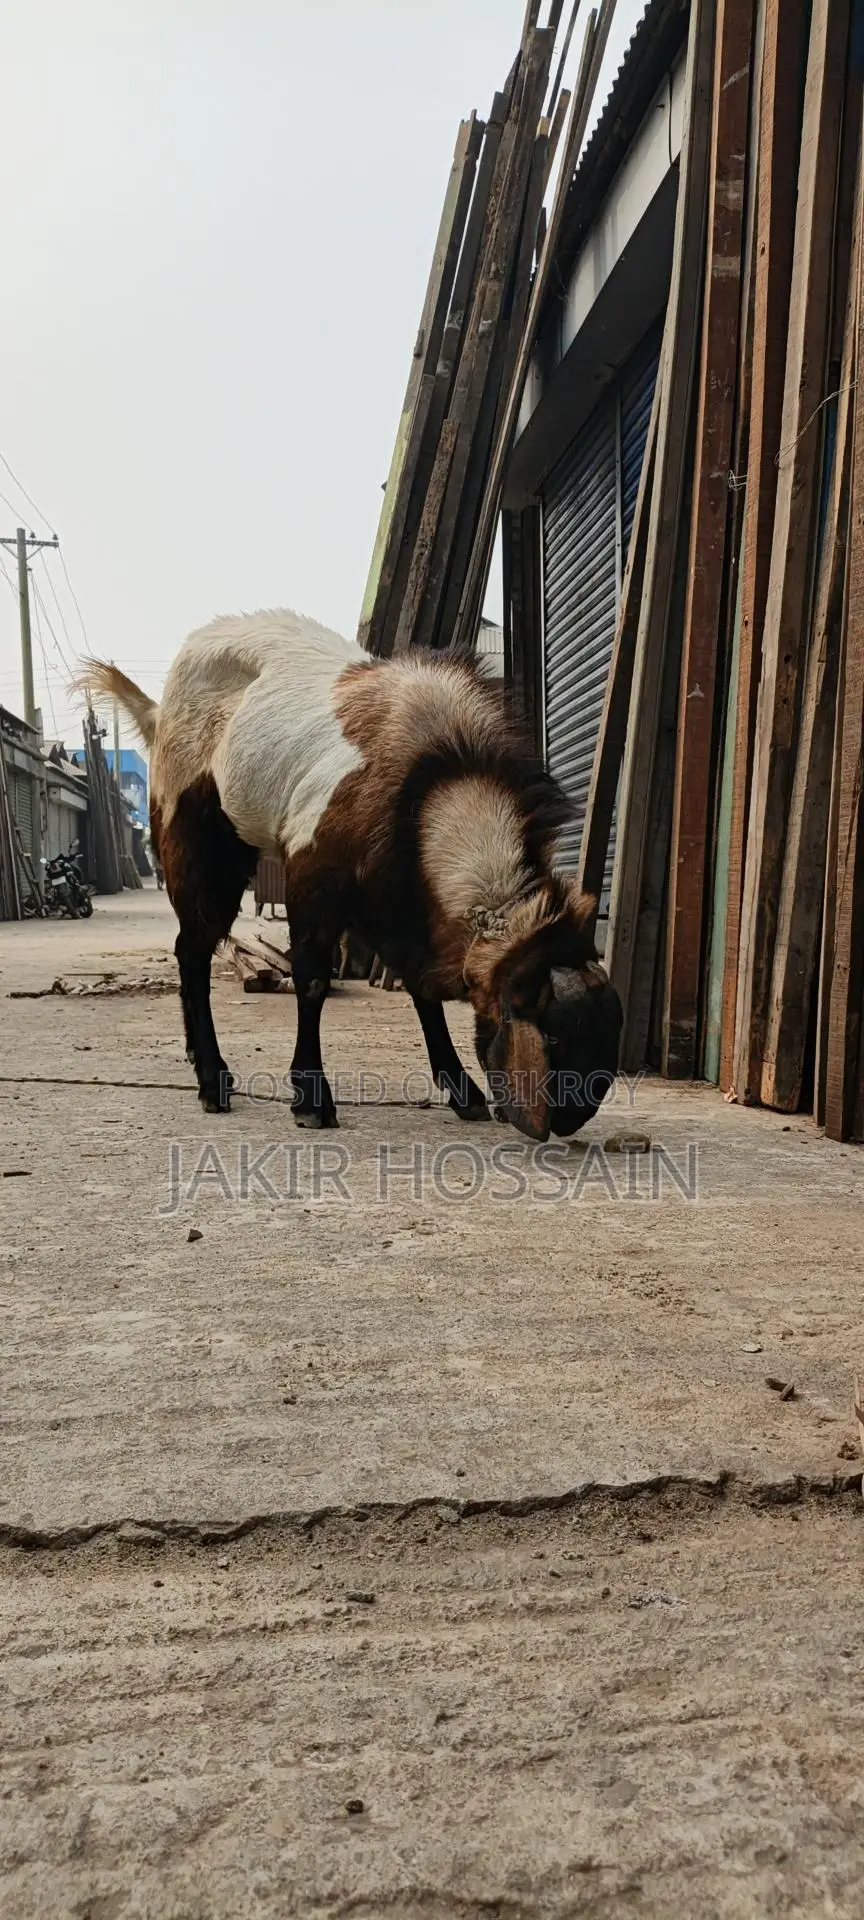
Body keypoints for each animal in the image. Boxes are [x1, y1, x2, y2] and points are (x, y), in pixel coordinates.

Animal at [79, 609, 622, 1140]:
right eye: (552, 1034)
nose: (573, 1119)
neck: (434, 779)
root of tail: (157, 711)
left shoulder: (394, 902)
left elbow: (423, 991)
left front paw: (463, 1092)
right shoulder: (316, 875)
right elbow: (313, 980)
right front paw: (311, 1099)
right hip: (197, 841)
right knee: (192, 949)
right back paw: (212, 1080)